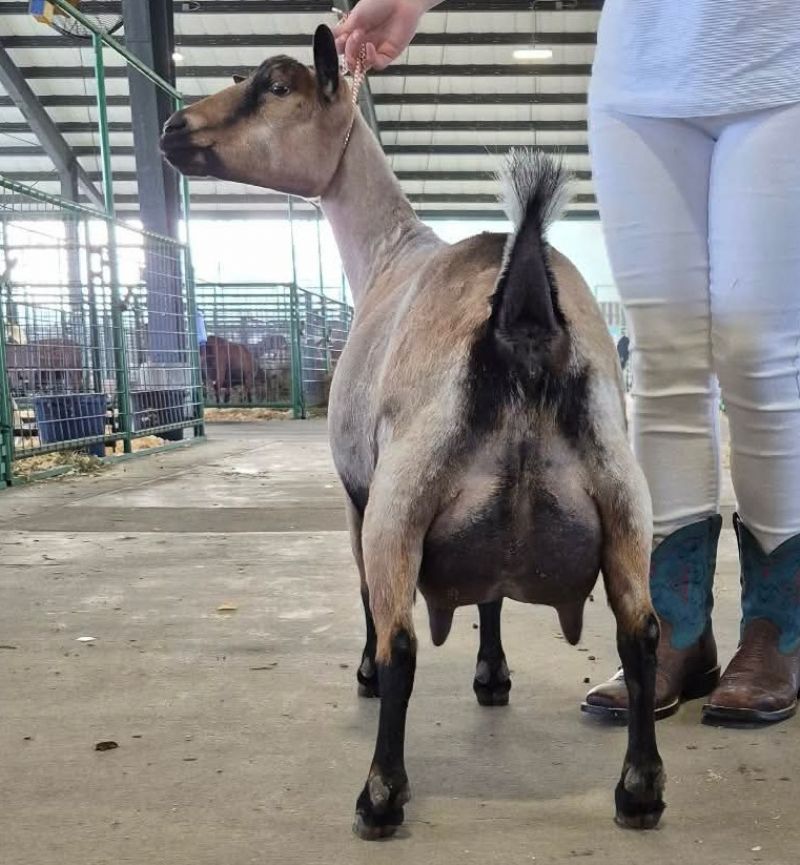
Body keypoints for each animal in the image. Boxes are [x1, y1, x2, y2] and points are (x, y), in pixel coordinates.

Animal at [162, 25, 665, 839]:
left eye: (275, 85)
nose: (174, 130)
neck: (390, 252)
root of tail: (524, 315)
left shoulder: (357, 492)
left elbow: (368, 598)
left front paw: (367, 674)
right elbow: (490, 592)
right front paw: (492, 674)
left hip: (405, 493)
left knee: (400, 636)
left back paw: (380, 794)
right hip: (623, 493)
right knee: (641, 631)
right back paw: (640, 790)